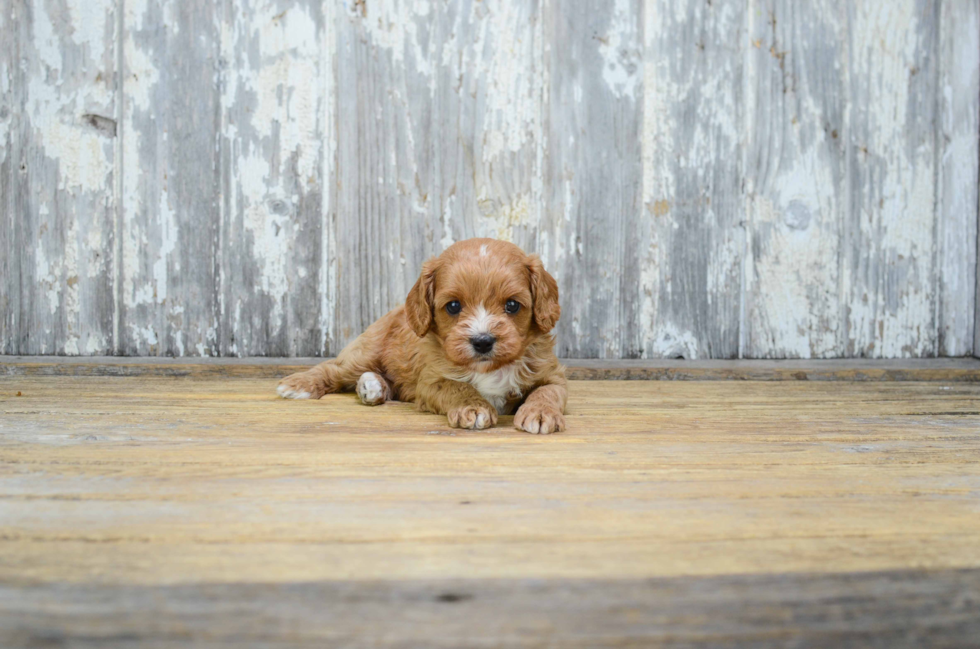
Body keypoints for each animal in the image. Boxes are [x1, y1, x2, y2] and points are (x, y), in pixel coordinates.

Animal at [276, 239, 568, 436]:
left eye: (512, 305)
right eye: (453, 306)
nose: (482, 341)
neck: (488, 368)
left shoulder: (552, 374)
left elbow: (548, 390)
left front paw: (540, 412)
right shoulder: (431, 380)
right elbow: (458, 387)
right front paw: (473, 407)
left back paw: (372, 386)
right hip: (365, 351)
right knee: (334, 368)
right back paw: (299, 384)